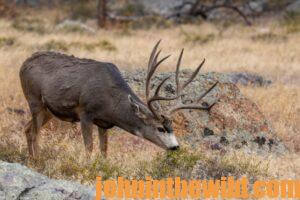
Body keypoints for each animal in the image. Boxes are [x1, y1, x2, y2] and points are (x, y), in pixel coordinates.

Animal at [19, 40, 217, 158]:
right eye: (160, 128)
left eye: (172, 127)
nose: (176, 147)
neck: (110, 103)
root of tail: (24, 63)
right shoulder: (85, 112)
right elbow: (89, 148)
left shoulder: (104, 123)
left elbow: (104, 151)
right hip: (34, 99)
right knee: (34, 133)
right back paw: (38, 161)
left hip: (48, 110)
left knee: (28, 129)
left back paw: (31, 160)